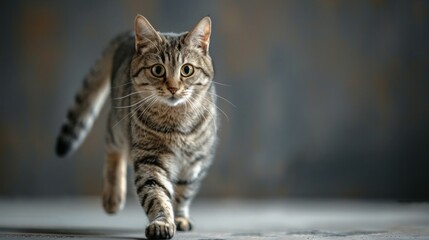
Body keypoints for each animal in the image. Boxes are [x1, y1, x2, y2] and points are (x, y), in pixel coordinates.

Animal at [55, 15, 217, 239]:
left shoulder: (195, 162)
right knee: (113, 148)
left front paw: (179, 217)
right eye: (158, 70)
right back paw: (112, 197)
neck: (176, 122)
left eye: (187, 70)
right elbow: (156, 194)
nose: (173, 88)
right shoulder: (150, 158)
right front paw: (163, 222)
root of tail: (128, 35)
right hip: (119, 125)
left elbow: (183, 192)